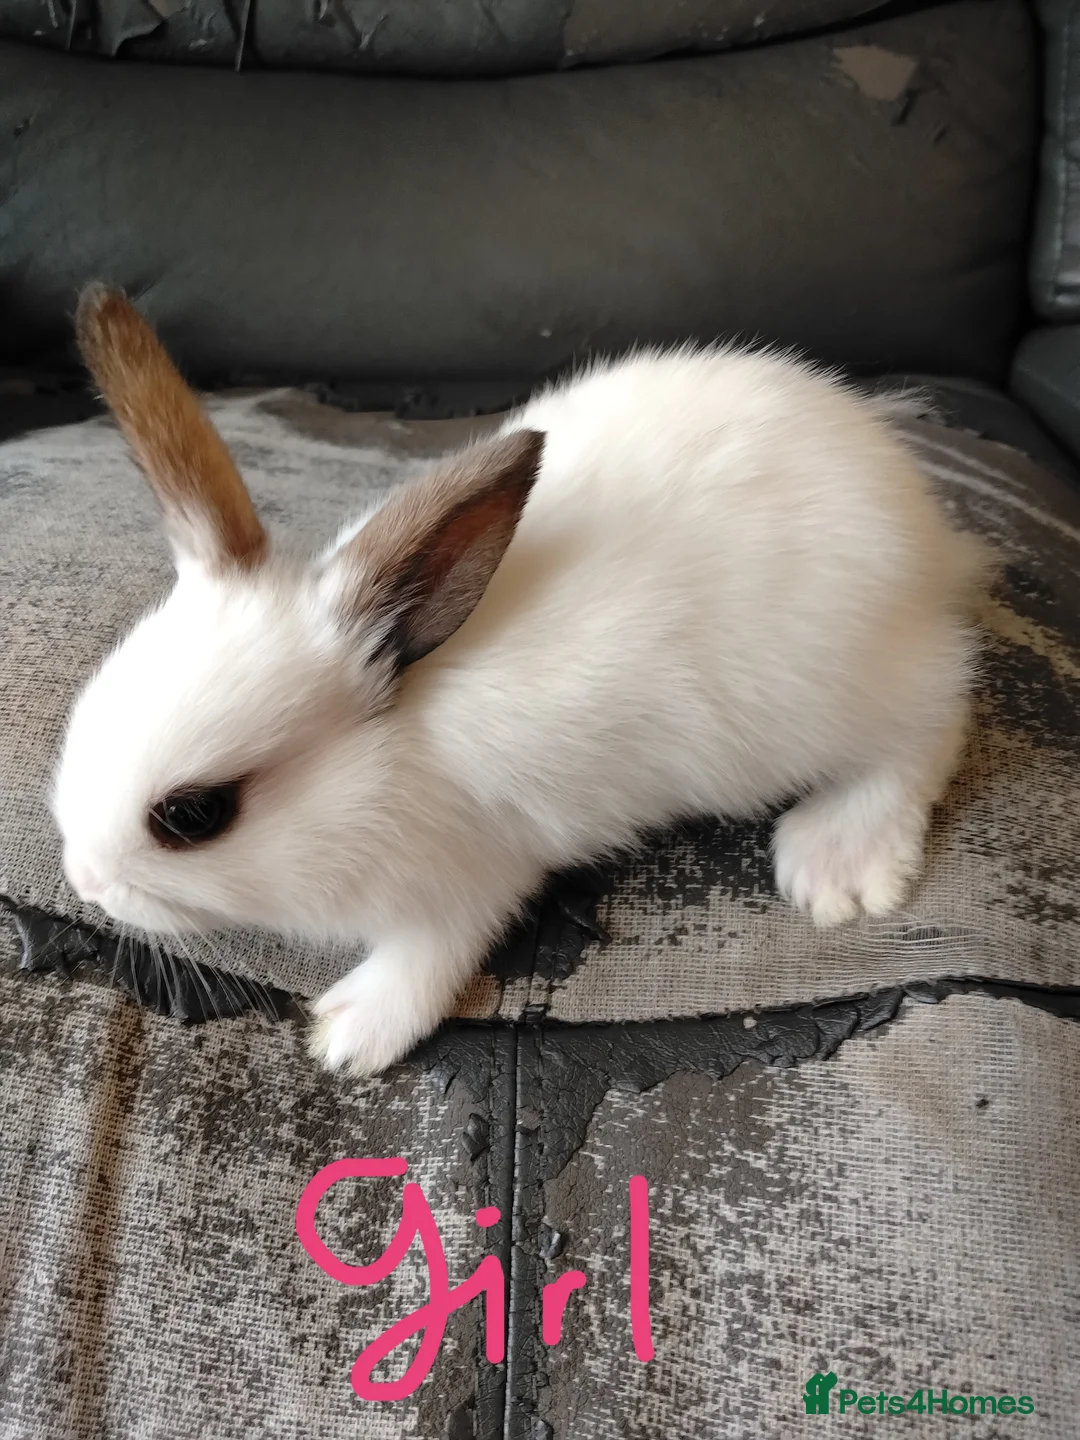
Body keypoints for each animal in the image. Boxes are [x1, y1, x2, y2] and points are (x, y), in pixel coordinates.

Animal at [54, 284, 986, 1076]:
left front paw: (349, 1035)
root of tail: (927, 533)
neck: (389, 756)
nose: (85, 882)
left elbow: (429, 956)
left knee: (935, 714)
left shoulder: (469, 878)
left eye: (194, 815)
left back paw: (839, 864)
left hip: (824, 699)